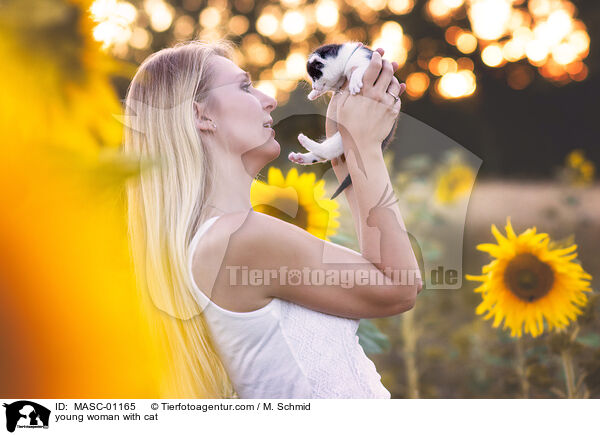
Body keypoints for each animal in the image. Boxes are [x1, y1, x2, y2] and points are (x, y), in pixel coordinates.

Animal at [288, 41, 400, 201]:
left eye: (315, 76)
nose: (314, 86)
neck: (347, 58)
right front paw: (313, 94)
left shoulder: (368, 61)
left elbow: (359, 69)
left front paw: (354, 83)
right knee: (326, 153)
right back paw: (300, 157)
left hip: (347, 136)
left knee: (328, 151)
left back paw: (303, 141)